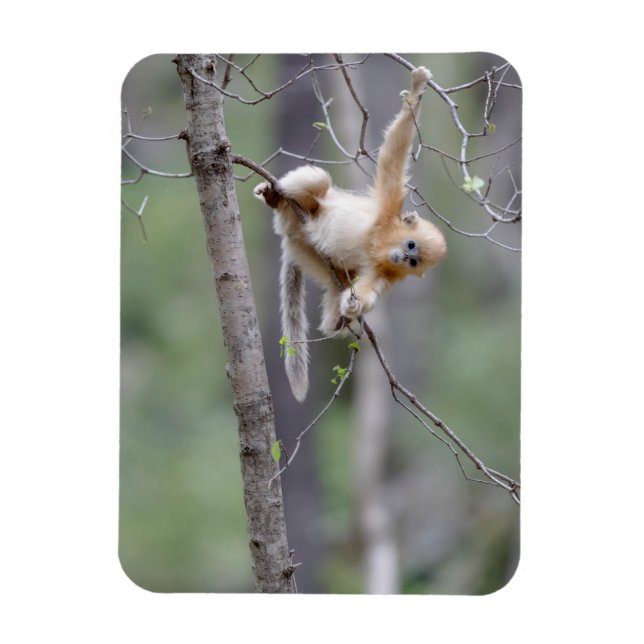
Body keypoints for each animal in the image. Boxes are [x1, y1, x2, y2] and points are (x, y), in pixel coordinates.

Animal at [254, 65, 446, 402]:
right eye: (410, 244)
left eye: (413, 261)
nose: (403, 256)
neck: (379, 243)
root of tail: (291, 231)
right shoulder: (387, 208)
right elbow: (393, 156)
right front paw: (417, 88)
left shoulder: (385, 274)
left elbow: (366, 290)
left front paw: (354, 307)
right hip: (303, 212)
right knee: (319, 180)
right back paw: (276, 197)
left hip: (307, 252)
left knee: (336, 285)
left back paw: (337, 320)